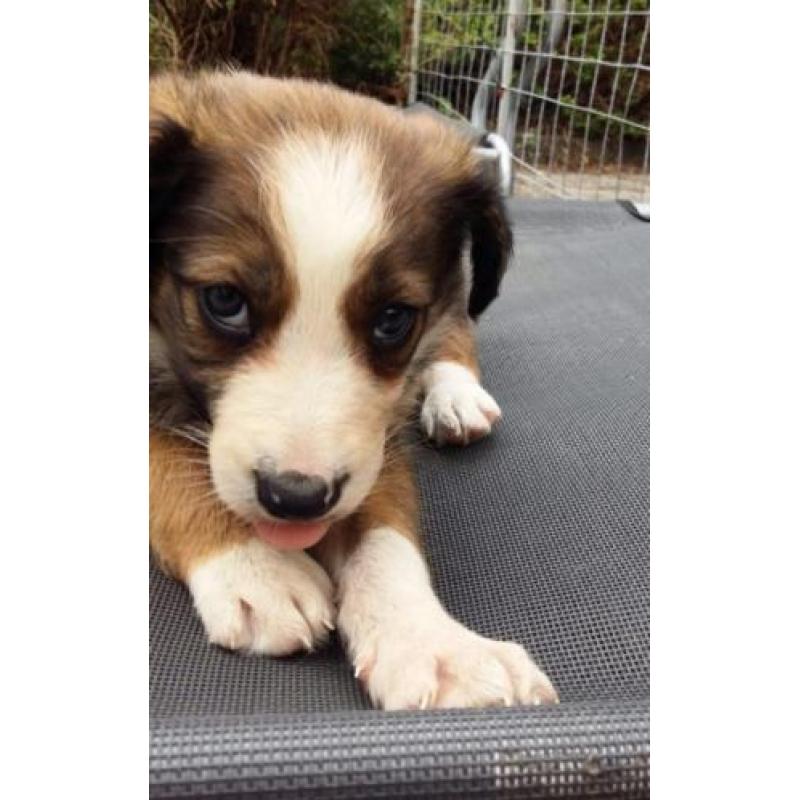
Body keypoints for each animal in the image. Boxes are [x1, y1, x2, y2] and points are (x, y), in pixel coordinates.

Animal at [150, 69, 556, 708]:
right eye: (224, 301)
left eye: (392, 319)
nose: (295, 499)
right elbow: (162, 463)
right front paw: (255, 565)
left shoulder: (378, 434)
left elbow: (385, 533)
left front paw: (434, 644)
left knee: (458, 326)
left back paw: (455, 395)